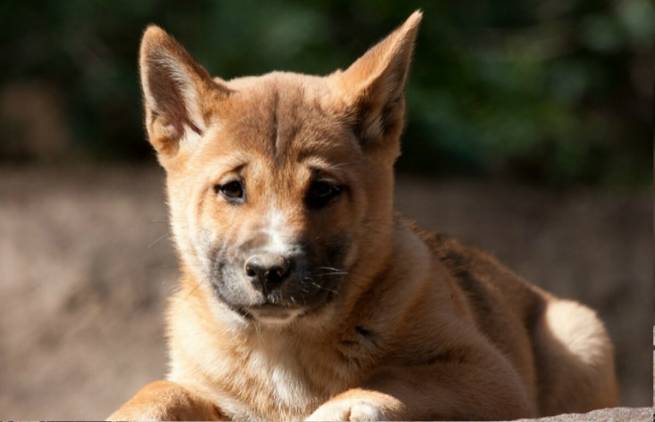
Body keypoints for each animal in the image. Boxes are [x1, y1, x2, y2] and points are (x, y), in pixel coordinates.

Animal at [109, 11, 620, 420]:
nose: (269, 271)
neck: (283, 347)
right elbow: (161, 389)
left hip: (581, 334)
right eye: (232, 189)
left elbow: (396, 380)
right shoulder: (209, 390)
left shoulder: (488, 375)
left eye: (323, 190)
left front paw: (344, 406)